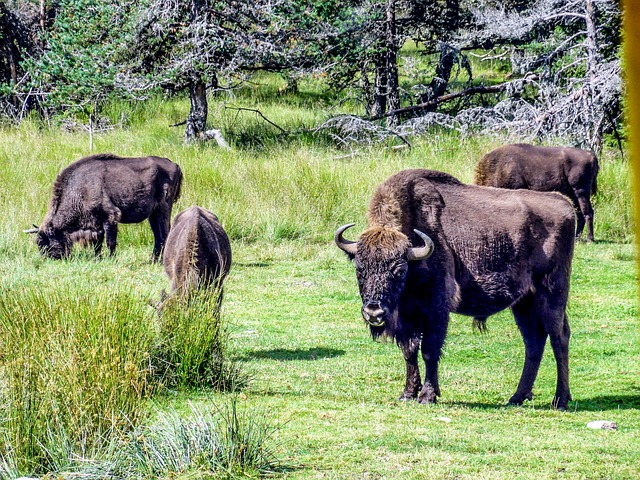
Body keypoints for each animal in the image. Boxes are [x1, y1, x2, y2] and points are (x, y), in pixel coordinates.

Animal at [26, 154, 182, 261]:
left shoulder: (111, 217)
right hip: (153, 214)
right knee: (158, 236)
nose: (51, 259)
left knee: (164, 234)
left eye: (46, 242)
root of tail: (175, 164)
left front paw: (111, 259)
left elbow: (110, 242)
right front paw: (98, 258)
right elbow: (98, 243)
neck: (80, 189)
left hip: (163, 209)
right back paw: (152, 261)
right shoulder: (96, 224)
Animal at [335, 169, 576, 409]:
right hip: (524, 303)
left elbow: (429, 350)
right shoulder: (406, 316)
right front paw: (407, 393)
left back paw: (560, 400)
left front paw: (427, 395)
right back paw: (517, 397)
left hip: (552, 295)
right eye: (359, 269)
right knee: (534, 341)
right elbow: (409, 351)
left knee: (559, 337)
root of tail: (565, 204)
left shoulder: (436, 310)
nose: (374, 312)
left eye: (399, 270)